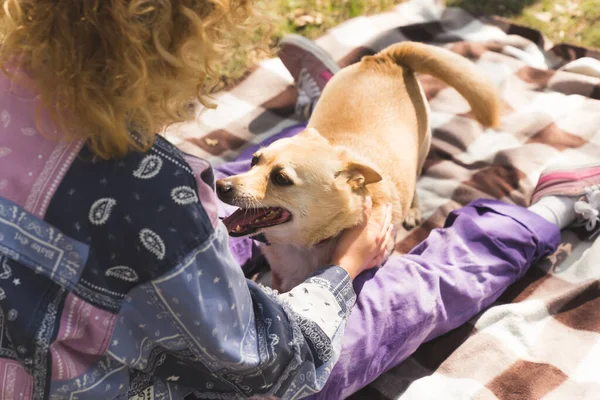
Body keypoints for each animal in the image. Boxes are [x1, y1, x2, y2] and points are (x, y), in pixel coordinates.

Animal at [218, 41, 500, 290]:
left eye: (281, 179)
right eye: (254, 160)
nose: (220, 186)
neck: (305, 244)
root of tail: (382, 58)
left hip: (422, 147)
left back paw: (412, 210)